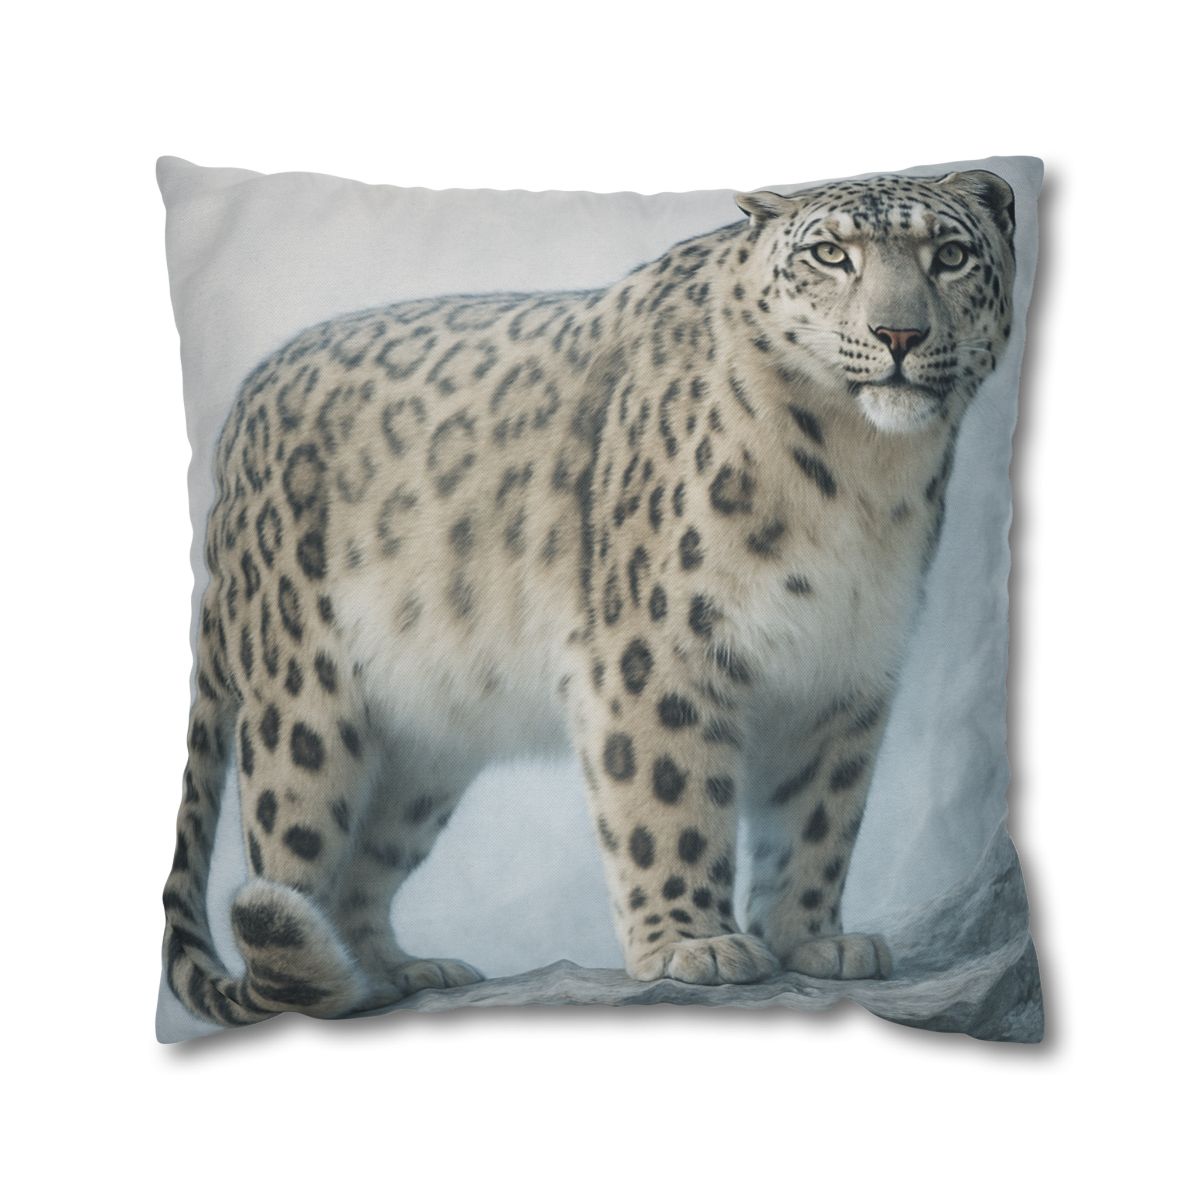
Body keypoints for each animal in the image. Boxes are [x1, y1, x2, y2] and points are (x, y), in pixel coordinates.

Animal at [162, 170, 1016, 1027]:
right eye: (832, 255)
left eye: (950, 255)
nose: (899, 334)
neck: (863, 477)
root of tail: (237, 424)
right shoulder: (657, 649)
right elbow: (671, 798)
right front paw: (694, 943)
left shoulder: (846, 670)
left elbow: (819, 816)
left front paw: (814, 939)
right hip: (303, 712)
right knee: (291, 860)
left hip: (423, 752)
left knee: (364, 862)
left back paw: (397, 972)